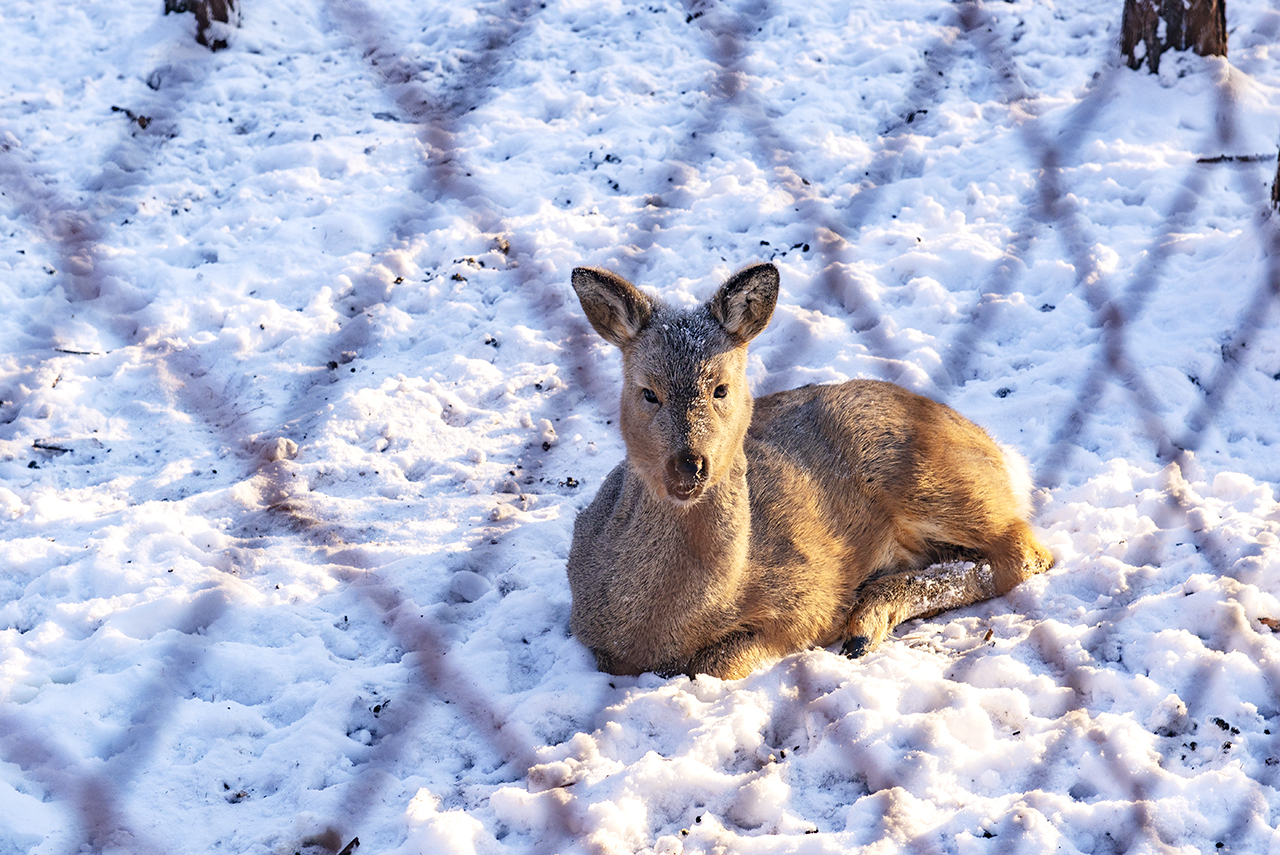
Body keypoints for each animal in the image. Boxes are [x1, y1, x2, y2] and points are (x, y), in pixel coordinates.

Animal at [565, 263, 1054, 675]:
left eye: (721, 388)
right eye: (648, 392)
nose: (689, 465)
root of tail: (998, 450)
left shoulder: (806, 593)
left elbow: (715, 662)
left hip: (928, 477)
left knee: (1024, 552)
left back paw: (864, 622)